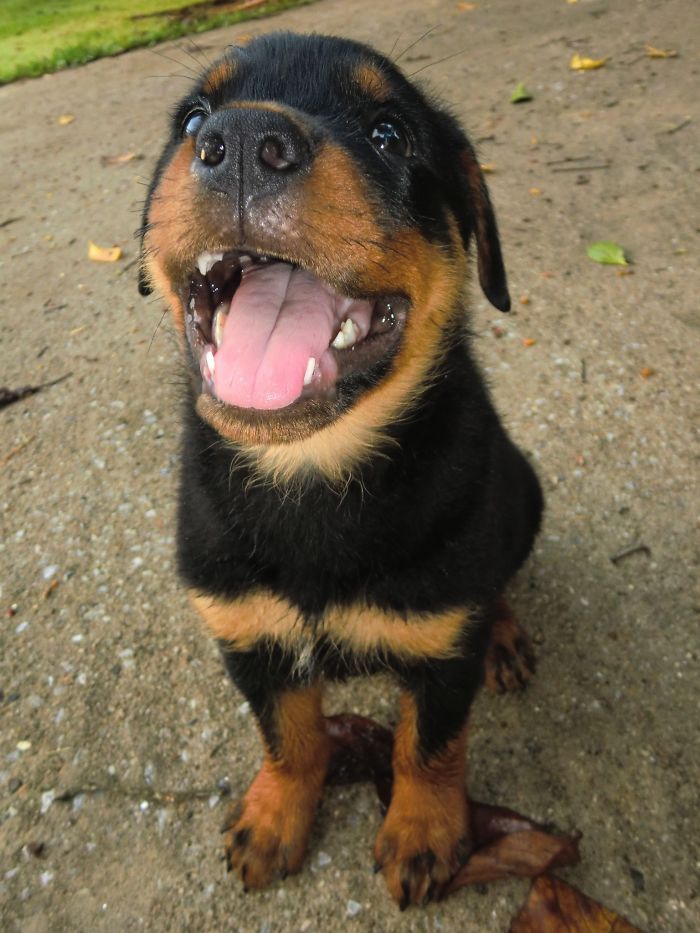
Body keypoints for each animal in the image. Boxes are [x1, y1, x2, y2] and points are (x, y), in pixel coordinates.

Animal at [137, 32, 540, 908]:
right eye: (194, 119)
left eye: (390, 134)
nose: (241, 142)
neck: (313, 473)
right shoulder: (246, 633)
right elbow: (290, 739)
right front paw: (274, 817)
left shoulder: (439, 647)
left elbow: (429, 747)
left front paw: (424, 832)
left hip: (522, 494)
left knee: (498, 580)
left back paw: (503, 633)